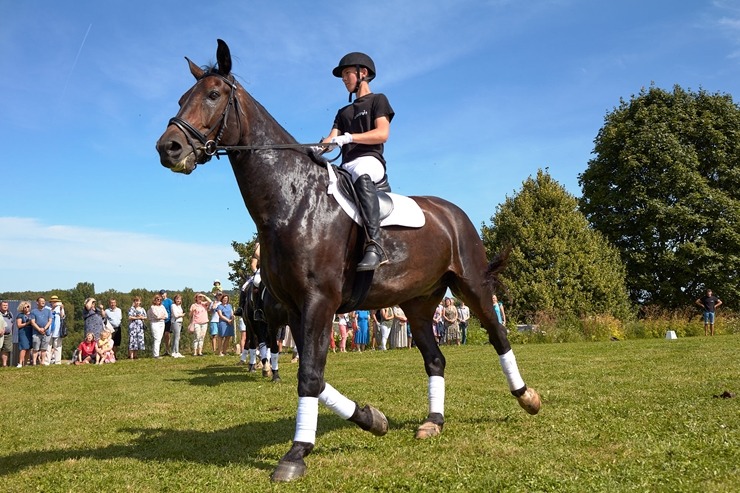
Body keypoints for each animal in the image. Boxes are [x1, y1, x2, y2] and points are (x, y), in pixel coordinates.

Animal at [156, 39, 540, 480]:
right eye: (182, 98)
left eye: (214, 95)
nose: (168, 148)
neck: (293, 201)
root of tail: (453, 213)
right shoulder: (295, 310)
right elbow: (312, 374)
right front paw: (372, 419)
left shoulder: (318, 303)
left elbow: (309, 377)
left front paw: (296, 453)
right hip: (418, 303)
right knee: (435, 359)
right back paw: (433, 422)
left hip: (472, 285)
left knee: (498, 336)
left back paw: (527, 397)